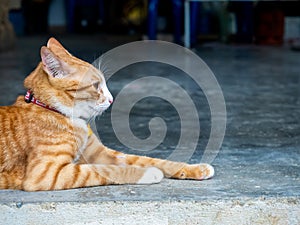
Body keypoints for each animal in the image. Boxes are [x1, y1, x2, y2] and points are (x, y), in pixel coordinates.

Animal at [0, 37, 213, 191]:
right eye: (96, 86)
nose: (112, 99)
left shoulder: (102, 153)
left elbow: (152, 160)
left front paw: (195, 168)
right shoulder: (45, 174)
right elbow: (104, 170)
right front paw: (148, 173)